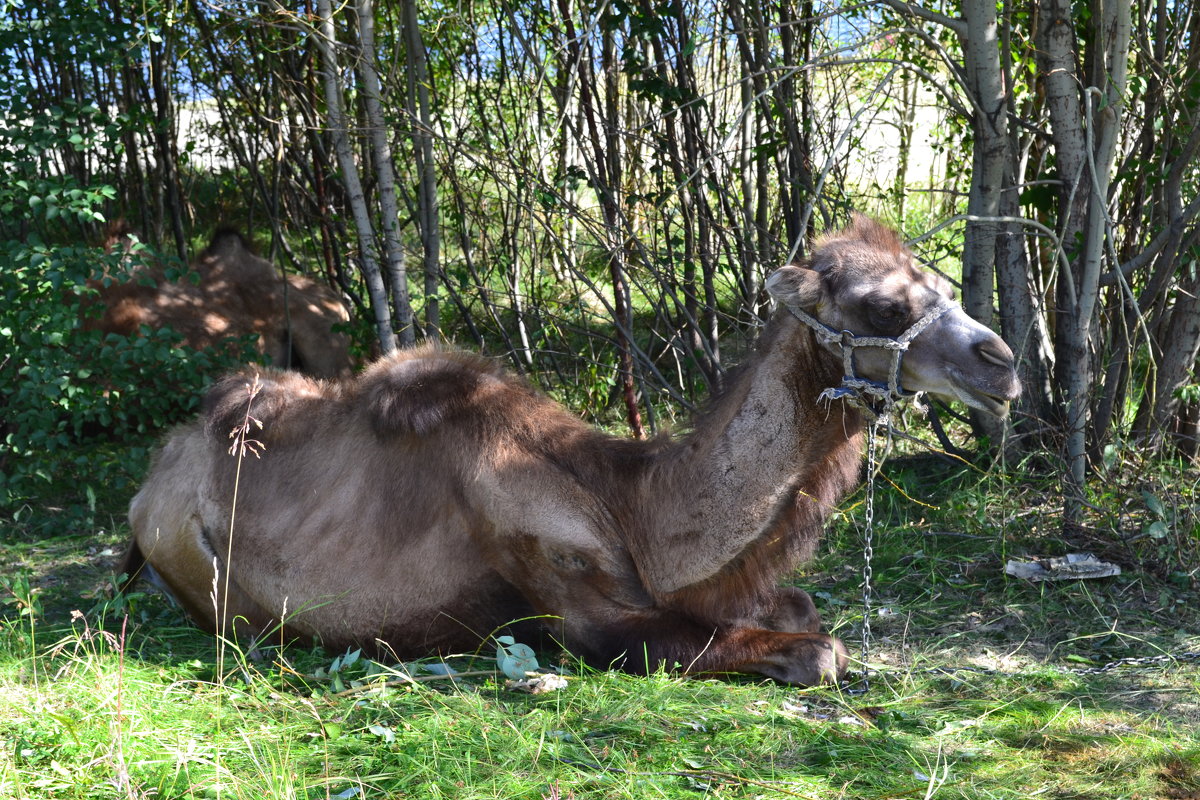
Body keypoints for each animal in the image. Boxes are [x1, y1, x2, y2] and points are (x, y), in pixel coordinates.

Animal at [124, 215, 1022, 686]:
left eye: (942, 286)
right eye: (882, 306)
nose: (1004, 363)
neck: (630, 505)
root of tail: (147, 488)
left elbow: (799, 608)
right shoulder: (582, 613)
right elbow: (816, 651)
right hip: (202, 572)